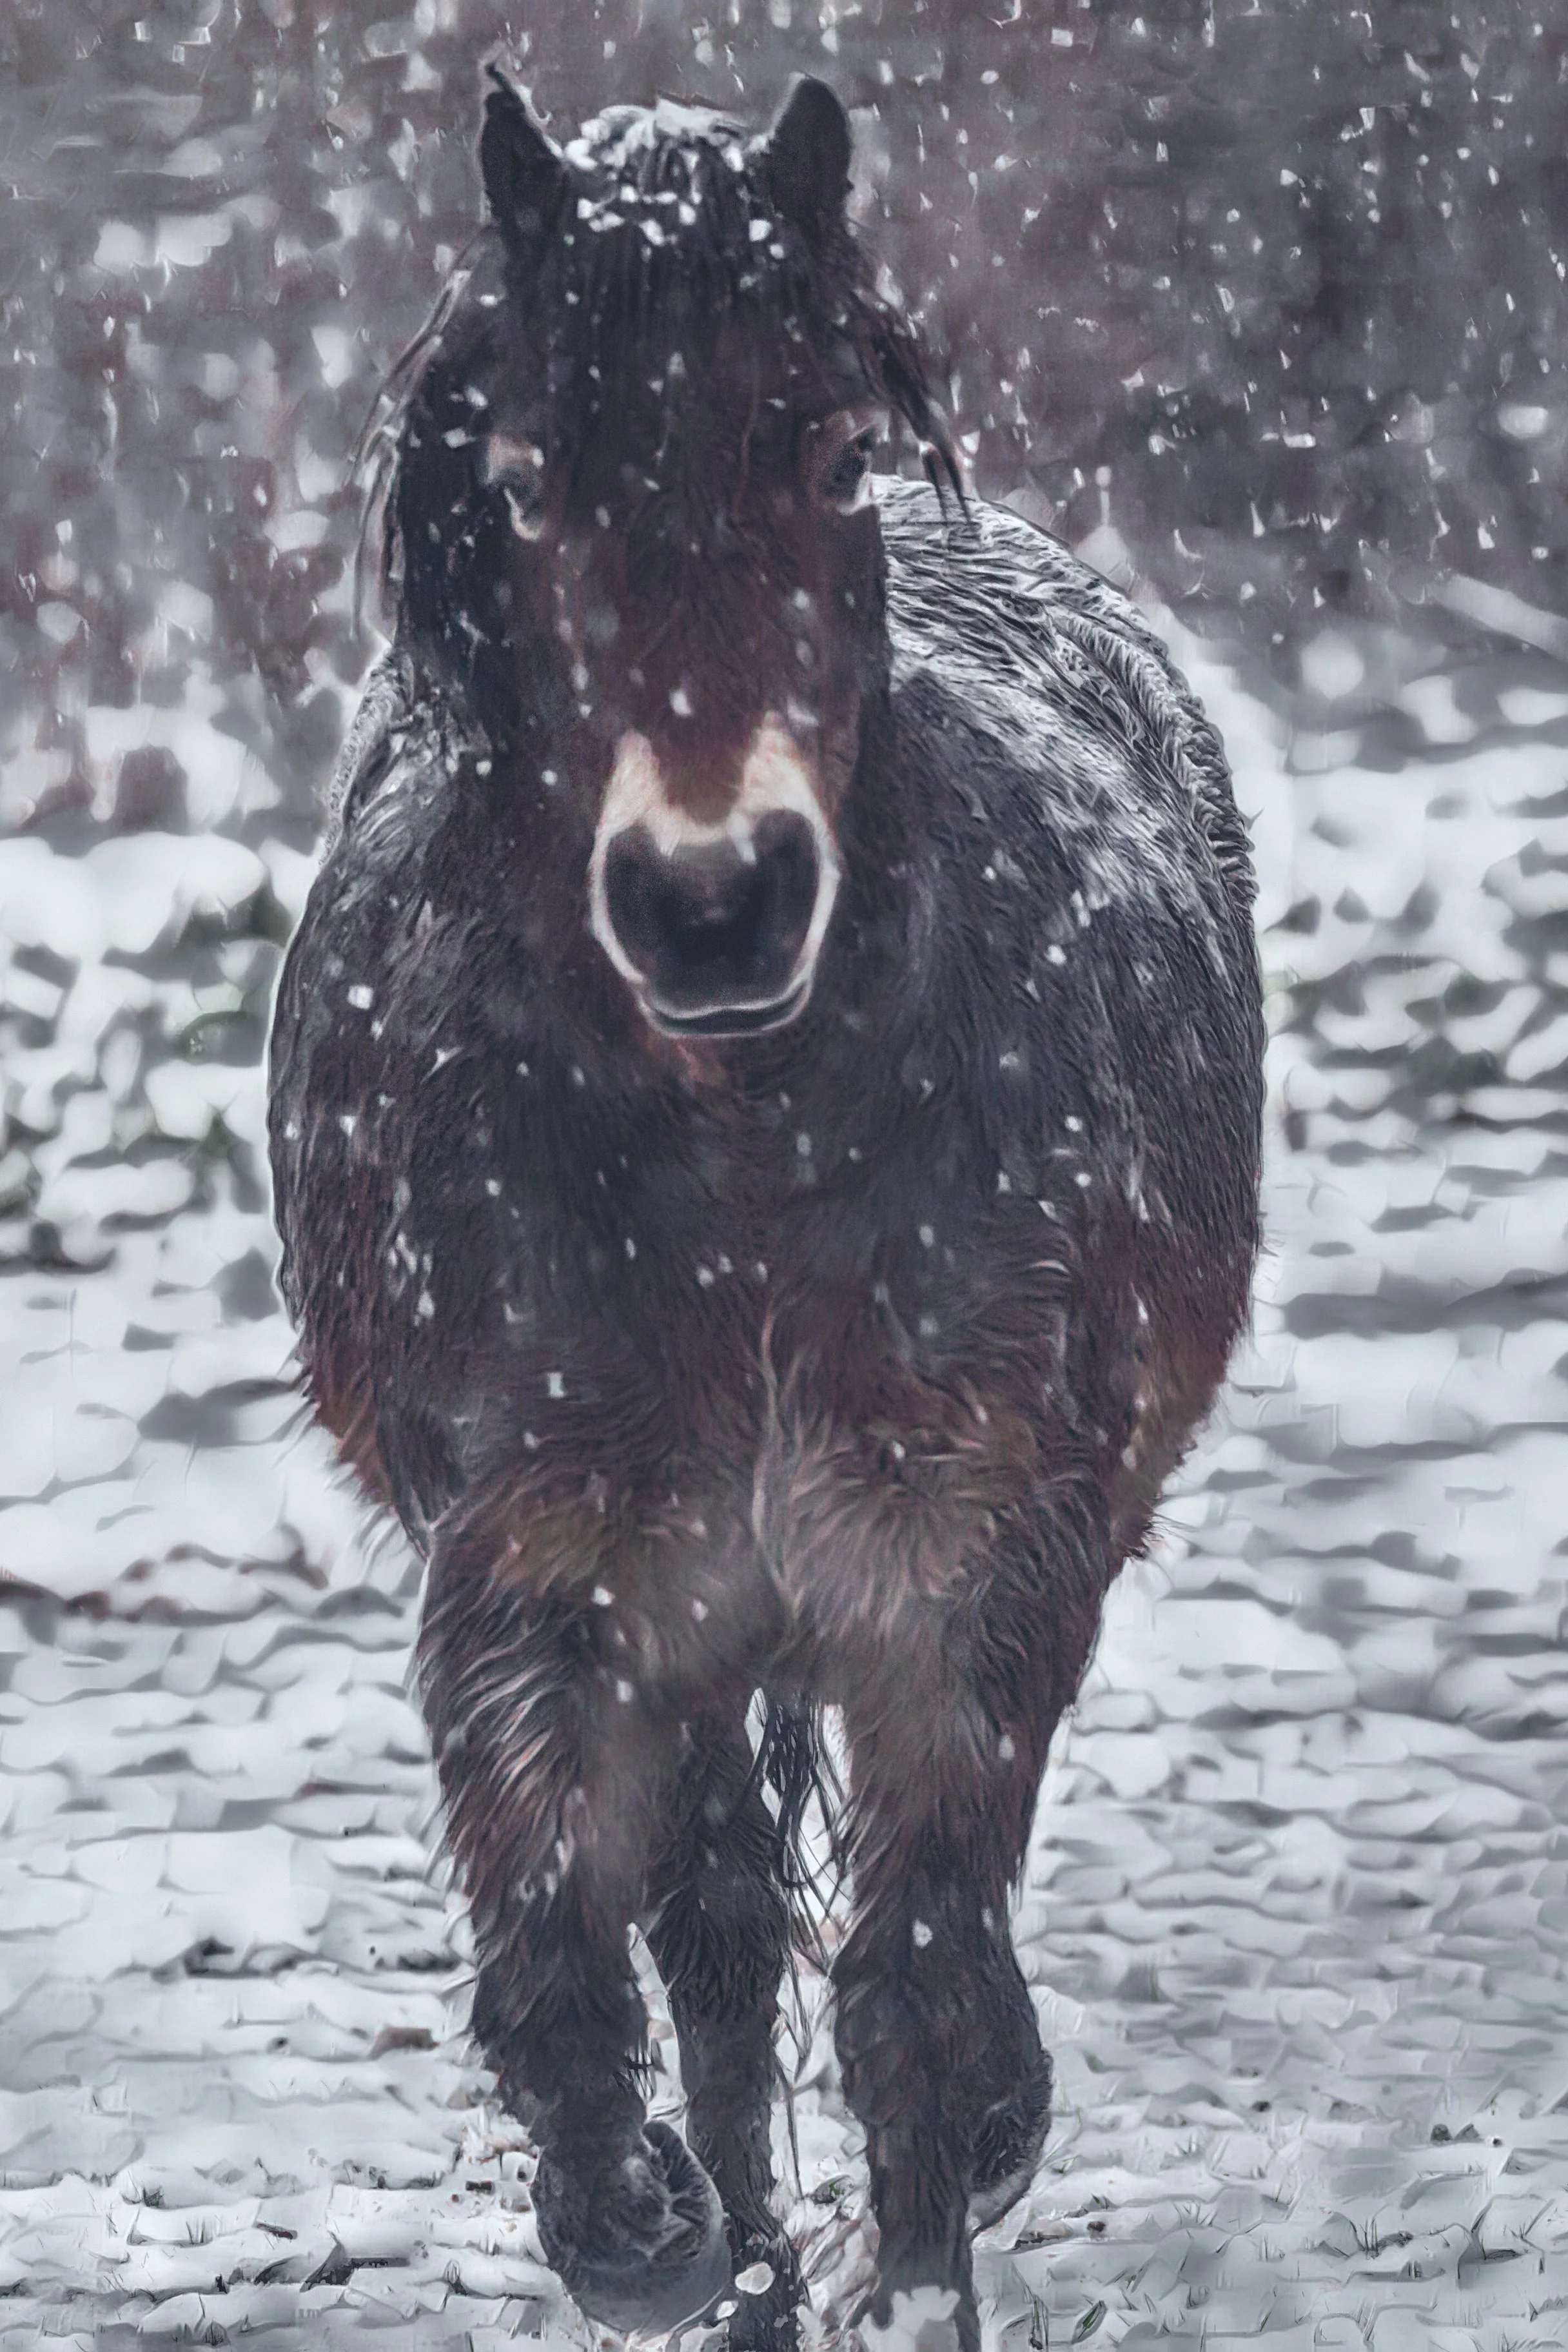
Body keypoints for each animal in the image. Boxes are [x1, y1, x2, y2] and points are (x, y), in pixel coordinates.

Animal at [268, 68, 1263, 2352]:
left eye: (825, 449)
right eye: (527, 484)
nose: (711, 900)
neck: (734, 1165)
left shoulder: (962, 1574)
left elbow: (911, 1999)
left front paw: (934, 2245)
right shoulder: (557, 1574)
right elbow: (576, 1959)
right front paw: (641, 2230)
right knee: (715, 1945)